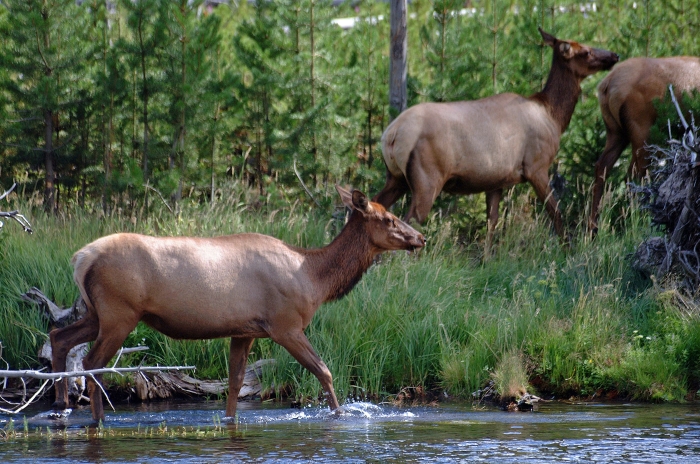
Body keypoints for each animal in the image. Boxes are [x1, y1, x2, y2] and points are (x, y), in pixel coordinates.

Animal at [50, 186, 426, 420]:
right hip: (120, 312)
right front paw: (340, 414)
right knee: (92, 362)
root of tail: (80, 259)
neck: (315, 279)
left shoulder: (244, 331)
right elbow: (325, 371)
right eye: (389, 219)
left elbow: (234, 385)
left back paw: (59, 404)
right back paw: (95, 419)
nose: (421, 237)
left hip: (97, 313)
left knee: (59, 337)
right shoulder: (285, 325)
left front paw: (229, 420)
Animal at [372, 26, 616, 239]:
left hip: (396, 177)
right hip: (427, 178)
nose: (614, 55)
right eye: (585, 51)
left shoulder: (496, 181)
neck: (553, 116)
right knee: (411, 220)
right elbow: (556, 214)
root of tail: (391, 135)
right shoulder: (536, 166)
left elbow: (492, 225)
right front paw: (567, 249)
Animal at [592, 56, 700, 234]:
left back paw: (593, 228)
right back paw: (638, 222)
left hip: (615, 132)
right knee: (634, 176)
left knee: (602, 167)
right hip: (642, 131)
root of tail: (606, 85)